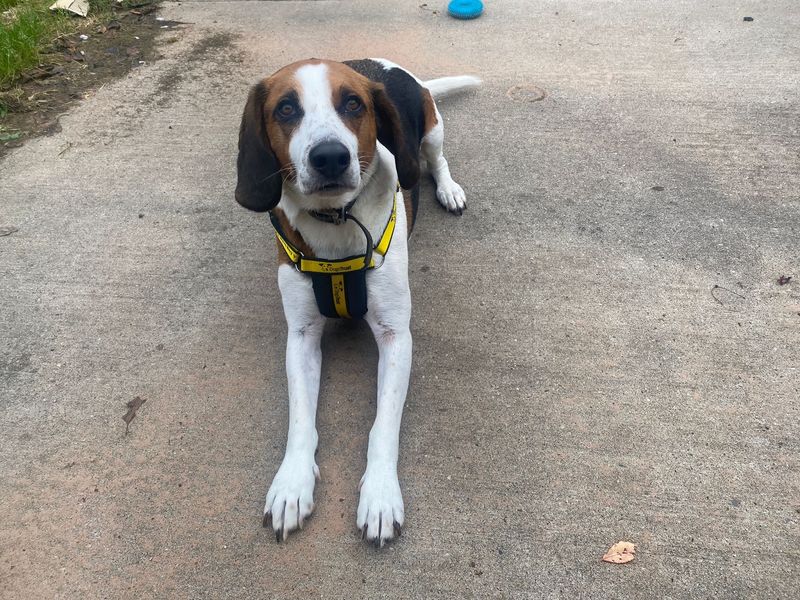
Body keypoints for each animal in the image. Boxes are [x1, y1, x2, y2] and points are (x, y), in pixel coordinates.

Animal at [234, 58, 478, 548]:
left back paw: (449, 189)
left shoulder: (396, 337)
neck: (336, 219)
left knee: (436, 161)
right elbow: (300, 421)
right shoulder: (301, 338)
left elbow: (382, 426)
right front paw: (291, 484)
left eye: (353, 104)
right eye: (285, 108)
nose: (330, 156)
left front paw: (381, 495)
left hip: (432, 129)